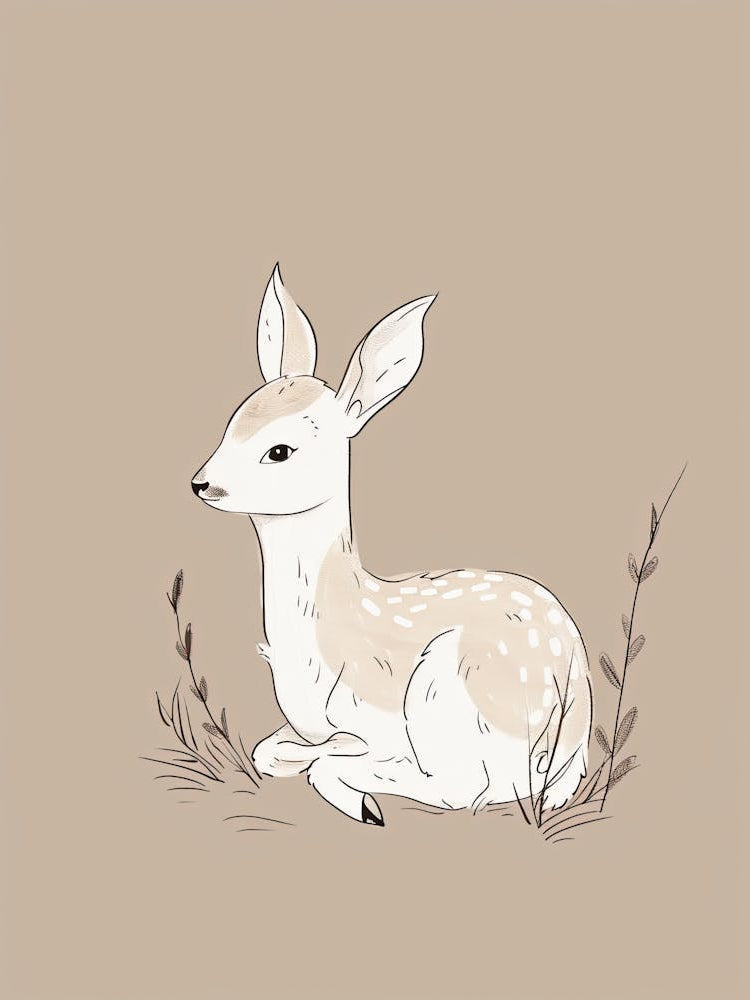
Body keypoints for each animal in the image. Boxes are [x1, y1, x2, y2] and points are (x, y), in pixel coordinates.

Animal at [191, 265, 592, 827]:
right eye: (232, 424)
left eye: (280, 451)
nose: (202, 484)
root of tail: (578, 725)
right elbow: (266, 751)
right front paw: (291, 754)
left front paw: (347, 777)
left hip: (450, 687)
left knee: (473, 789)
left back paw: (367, 802)